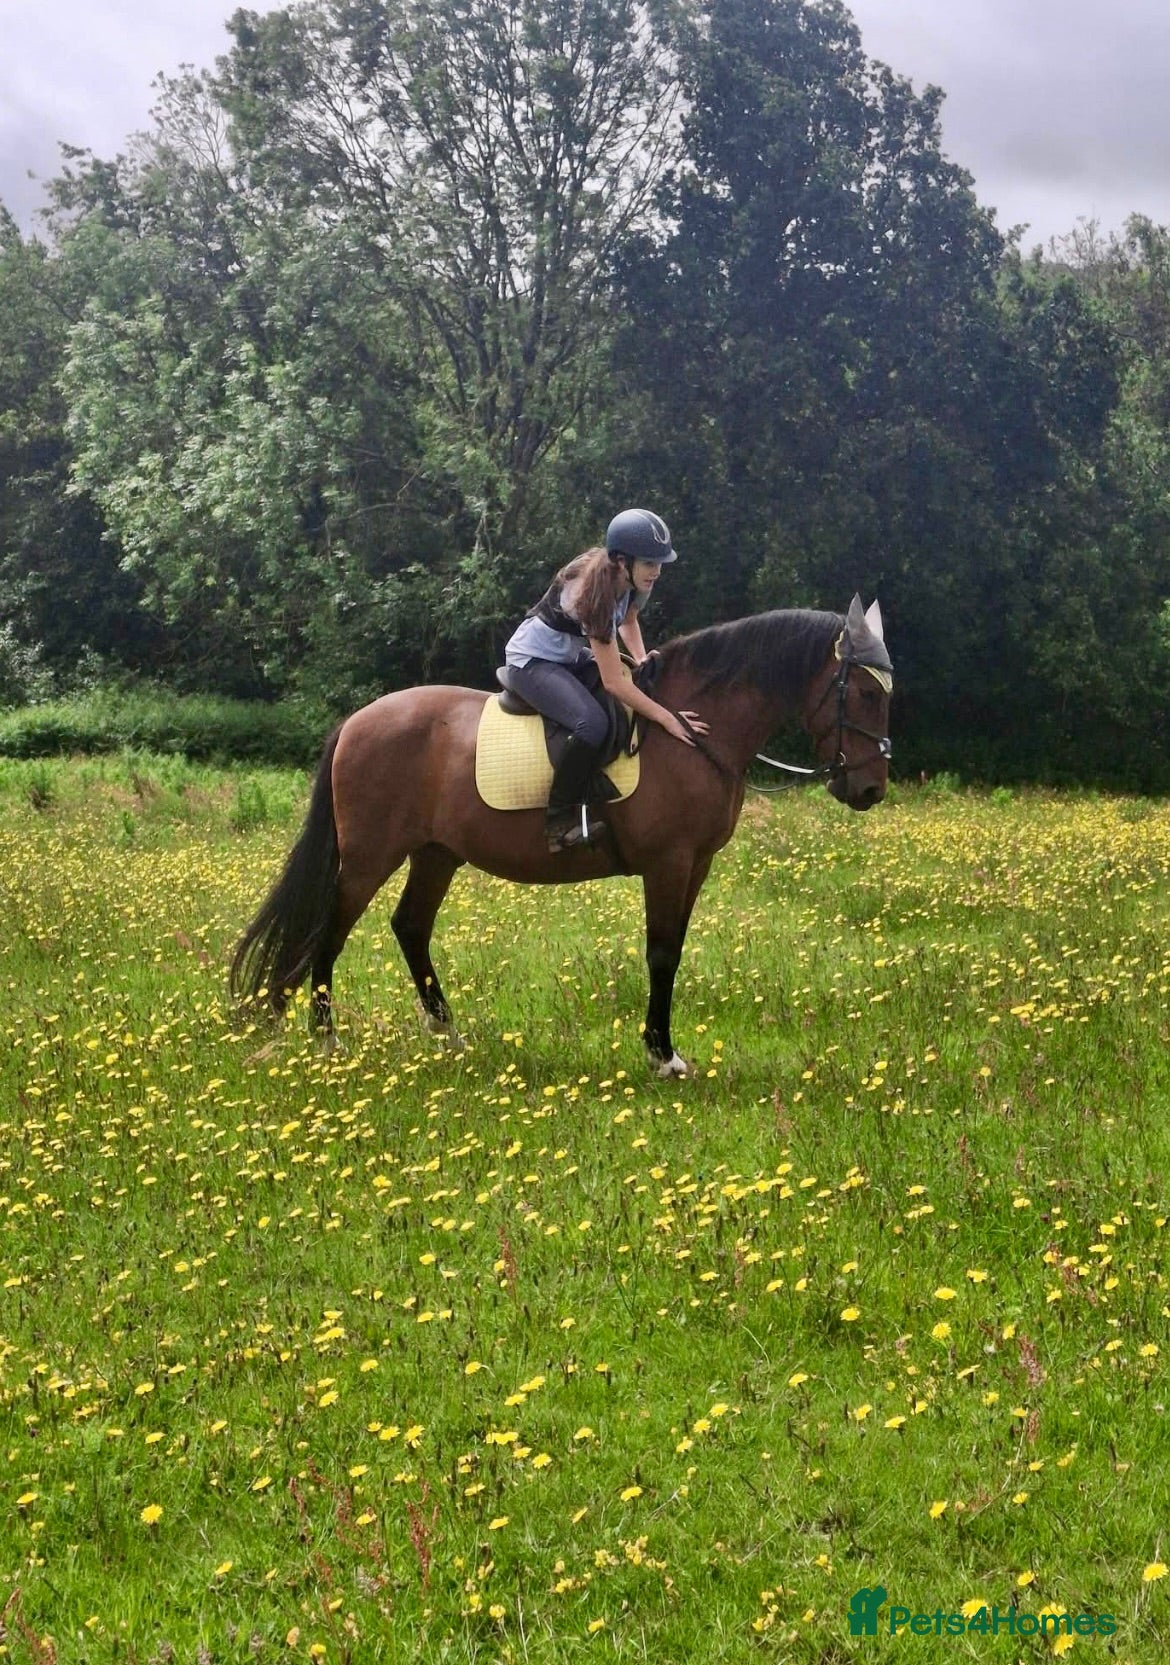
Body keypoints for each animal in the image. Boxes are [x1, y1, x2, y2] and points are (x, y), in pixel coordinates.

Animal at [230, 596, 892, 1076]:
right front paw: (661, 1053)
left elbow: (674, 950)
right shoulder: (670, 863)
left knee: (410, 926)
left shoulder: (696, 864)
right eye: (863, 691)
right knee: (332, 930)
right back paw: (326, 1038)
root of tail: (356, 721)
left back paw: (446, 1030)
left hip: (436, 854)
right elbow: (661, 953)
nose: (869, 789)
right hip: (371, 856)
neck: (688, 732)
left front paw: (663, 1046)